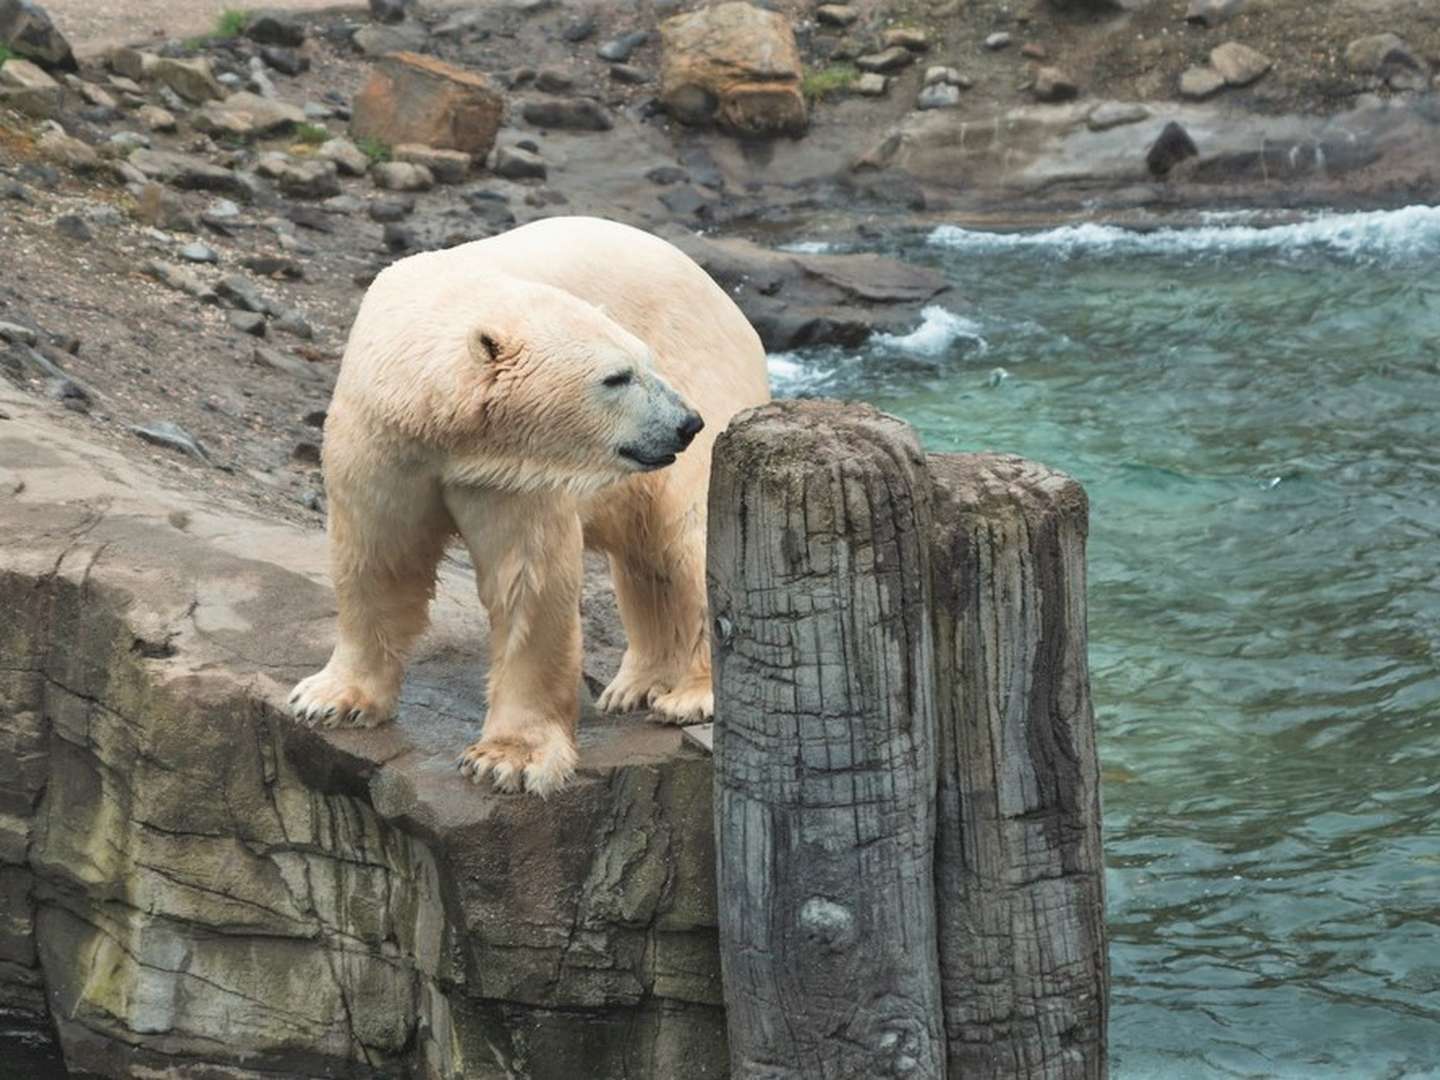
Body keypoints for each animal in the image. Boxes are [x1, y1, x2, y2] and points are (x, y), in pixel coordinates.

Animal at [285, 217, 771, 794]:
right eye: (617, 377)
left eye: (647, 362)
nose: (685, 422)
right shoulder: (383, 444)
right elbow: (377, 558)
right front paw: (332, 700)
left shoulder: (516, 473)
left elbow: (527, 580)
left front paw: (507, 758)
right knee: (645, 557)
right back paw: (634, 686)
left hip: (712, 376)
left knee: (686, 531)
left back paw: (691, 694)